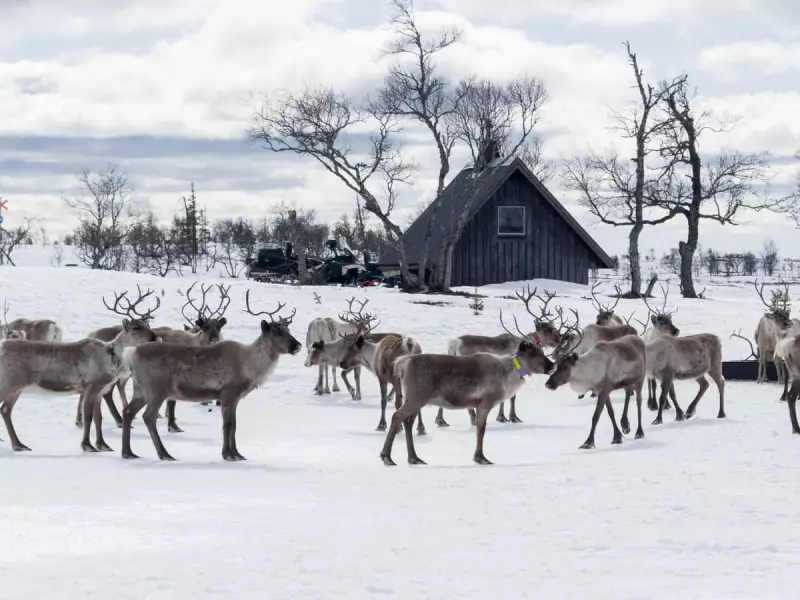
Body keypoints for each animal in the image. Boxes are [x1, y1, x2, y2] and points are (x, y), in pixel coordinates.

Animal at [0, 297, 159, 453]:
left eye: (148, 325)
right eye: (136, 327)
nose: (156, 338)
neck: (113, 358)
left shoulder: (101, 390)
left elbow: (98, 418)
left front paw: (103, 445)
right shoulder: (92, 386)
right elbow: (88, 416)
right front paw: (87, 445)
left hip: (16, 388)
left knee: (5, 410)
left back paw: (19, 445)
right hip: (8, 383)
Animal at [119, 289, 301, 461]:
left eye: (288, 329)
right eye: (276, 331)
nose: (298, 345)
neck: (250, 365)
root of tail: (132, 353)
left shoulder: (233, 397)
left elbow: (233, 425)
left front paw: (236, 454)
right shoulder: (229, 392)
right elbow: (228, 425)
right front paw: (229, 454)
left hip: (140, 389)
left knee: (127, 412)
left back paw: (128, 452)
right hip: (156, 390)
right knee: (148, 417)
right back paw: (164, 454)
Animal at [378, 309, 554, 466]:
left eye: (542, 351)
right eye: (533, 354)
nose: (552, 366)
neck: (507, 373)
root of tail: (404, 362)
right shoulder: (485, 402)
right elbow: (481, 430)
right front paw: (481, 458)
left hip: (416, 399)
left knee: (407, 422)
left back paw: (414, 458)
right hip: (416, 397)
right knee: (397, 416)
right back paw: (387, 457)